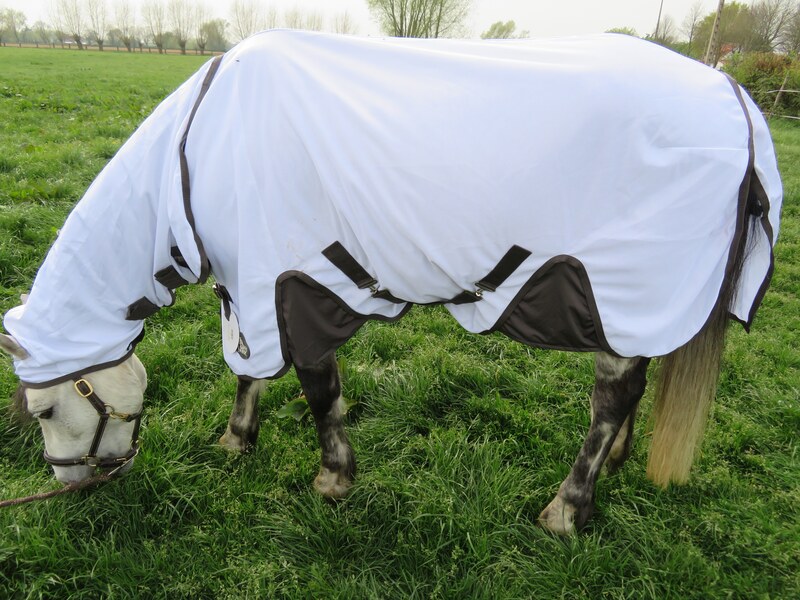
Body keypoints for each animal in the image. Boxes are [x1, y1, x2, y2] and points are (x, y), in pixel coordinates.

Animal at [0, 31, 782, 534]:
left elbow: (320, 391)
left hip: (629, 291)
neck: (196, 155)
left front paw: (332, 481)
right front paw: (235, 442)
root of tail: (736, 97)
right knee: (639, 385)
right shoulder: (249, 288)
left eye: (44, 409)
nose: (74, 485)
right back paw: (613, 469)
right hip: (645, 306)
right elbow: (249, 370)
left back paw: (568, 509)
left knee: (613, 397)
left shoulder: (290, 280)